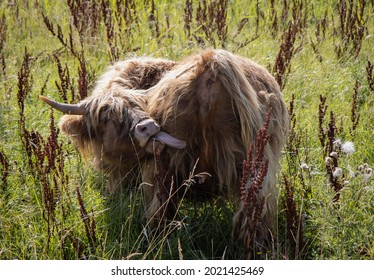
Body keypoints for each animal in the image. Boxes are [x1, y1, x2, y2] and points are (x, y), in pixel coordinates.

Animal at [39, 49, 288, 252]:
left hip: (163, 167)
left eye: (140, 106)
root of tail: (212, 64)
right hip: (257, 165)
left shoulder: (122, 176)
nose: (148, 126)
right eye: (107, 117)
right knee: (254, 212)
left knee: (160, 210)